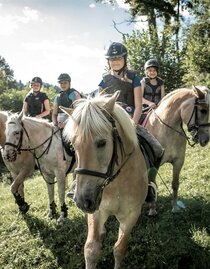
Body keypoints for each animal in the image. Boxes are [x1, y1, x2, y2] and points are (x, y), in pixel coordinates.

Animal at [62, 91, 148, 268]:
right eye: (73, 146)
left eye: (102, 143)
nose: (83, 201)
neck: (117, 182)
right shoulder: (97, 211)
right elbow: (91, 250)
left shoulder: (131, 215)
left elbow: (119, 249)